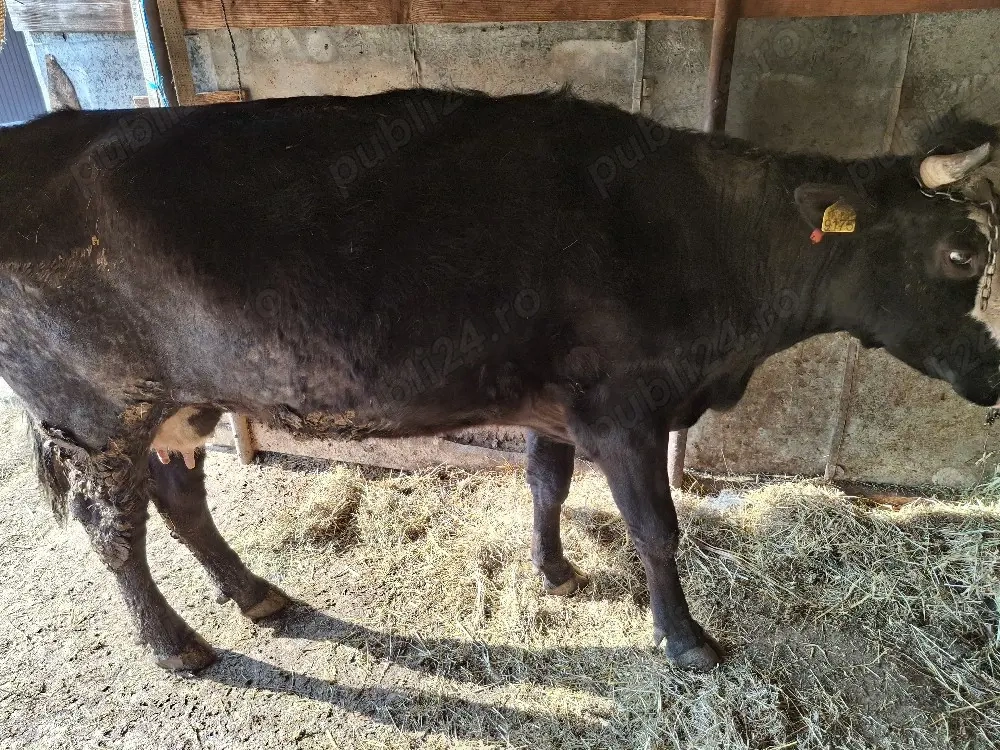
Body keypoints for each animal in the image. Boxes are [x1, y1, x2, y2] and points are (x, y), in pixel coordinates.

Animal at [2, 88, 999, 674]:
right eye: (964, 252)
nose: (993, 374)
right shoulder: (625, 411)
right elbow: (657, 531)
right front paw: (686, 641)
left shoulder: (556, 407)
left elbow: (545, 484)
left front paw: (554, 572)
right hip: (94, 411)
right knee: (114, 532)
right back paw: (177, 646)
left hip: (178, 402)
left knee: (180, 500)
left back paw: (256, 595)